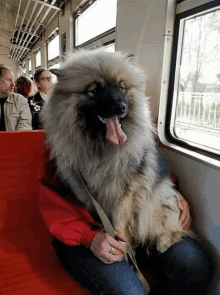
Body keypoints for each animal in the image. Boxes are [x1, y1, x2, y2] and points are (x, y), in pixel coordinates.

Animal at [41, 49, 194, 253]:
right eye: (94, 90)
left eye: (121, 86)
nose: (120, 107)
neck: (100, 146)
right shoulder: (84, 190)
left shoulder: (125, 194)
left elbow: (120, 223)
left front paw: (122, 247)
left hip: (156, 202)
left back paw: (164, 242)